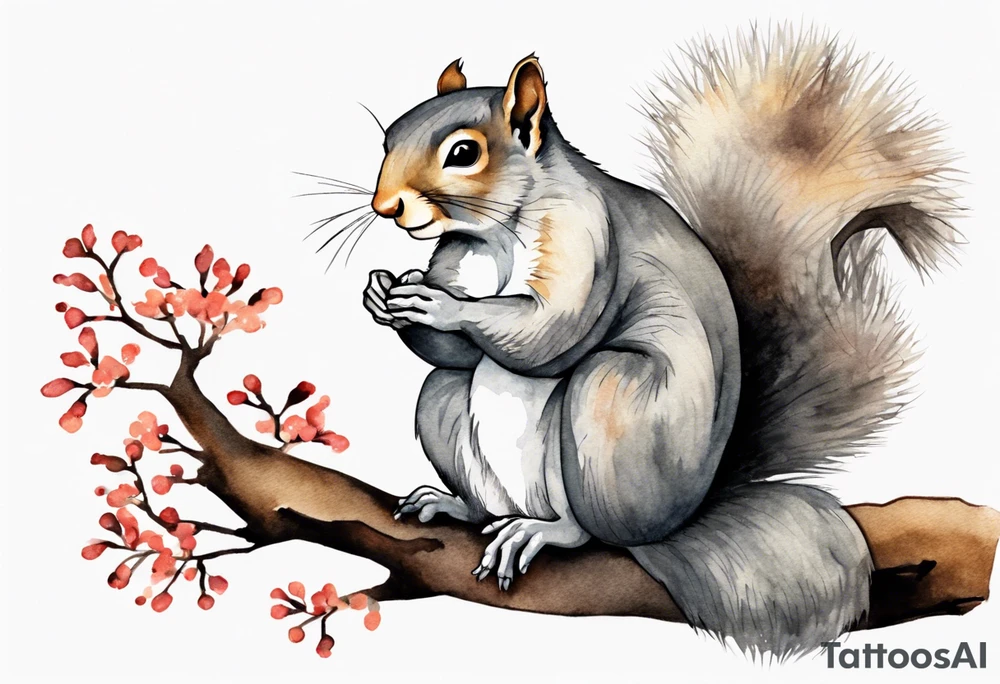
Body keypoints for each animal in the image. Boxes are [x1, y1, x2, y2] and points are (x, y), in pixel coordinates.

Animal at [359, 28, 961, 657]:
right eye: (388, 138)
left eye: (463, 153)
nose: (385, 206)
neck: (495, 235)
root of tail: (684, 515)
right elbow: (458, 354)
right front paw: (384, 296)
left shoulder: (587, 235)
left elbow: (550, 332)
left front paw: (441, 306)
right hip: (447, 408)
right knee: (454, 413)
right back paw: (452, 505)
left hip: (611, 412)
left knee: (592, 522)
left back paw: (544, 531)